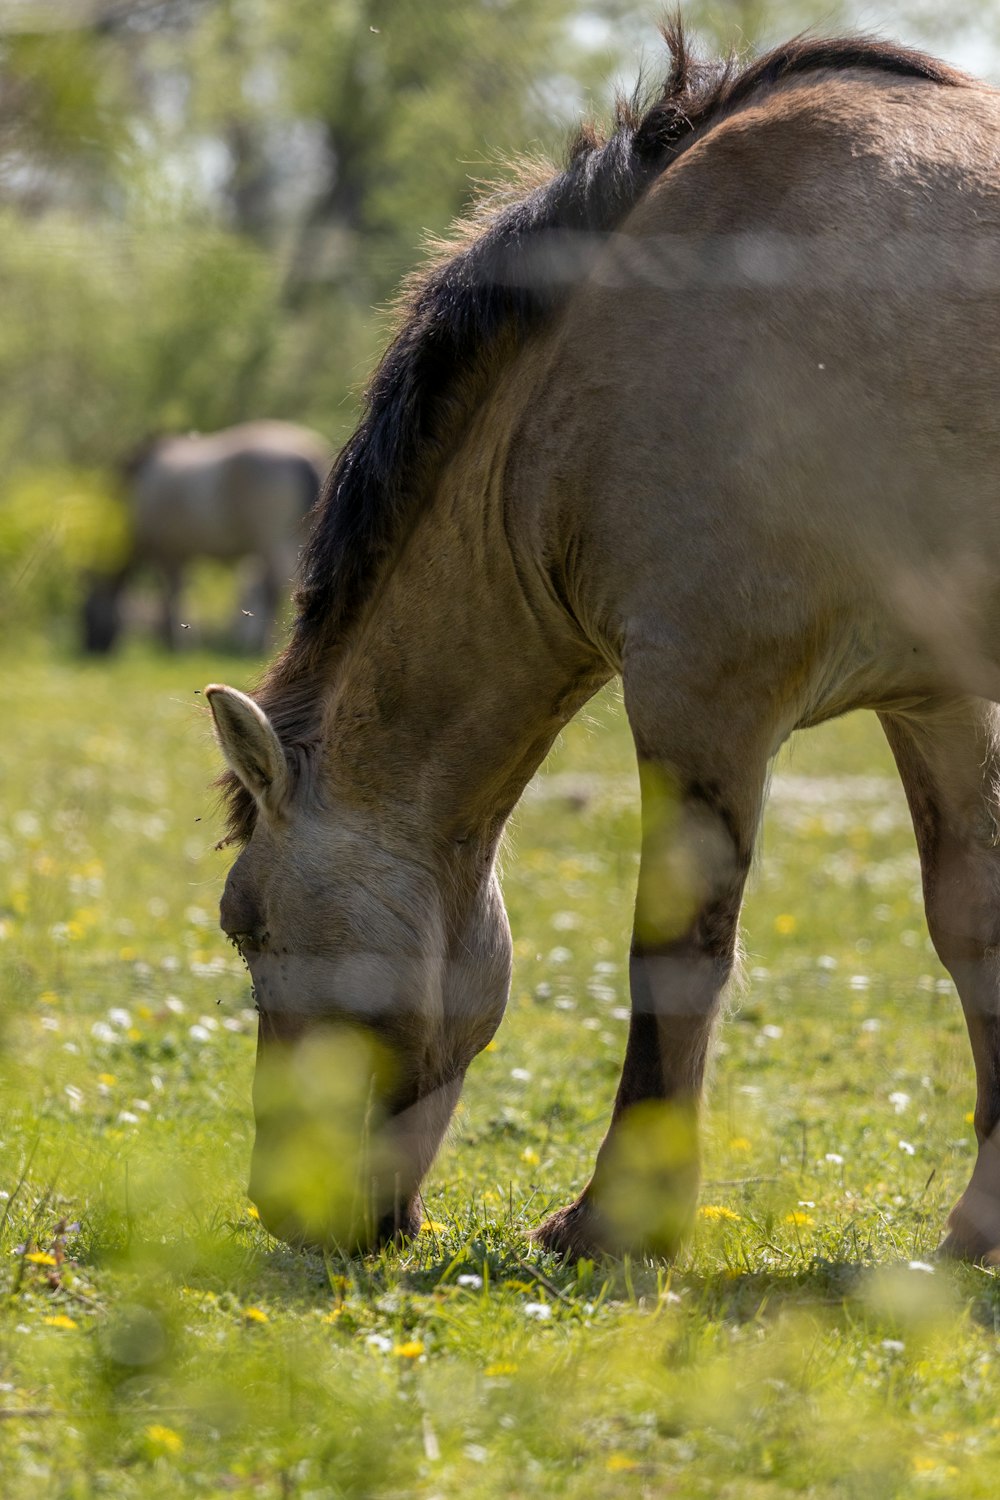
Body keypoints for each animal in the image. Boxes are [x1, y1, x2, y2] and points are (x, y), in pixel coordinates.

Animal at [83, 423, 329, 657]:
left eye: (86, 612)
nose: (91, 649)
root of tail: (307, 454)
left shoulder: (169, 554)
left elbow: (173, 595)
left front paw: (176, 643)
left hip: (274, 540)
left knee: (273, 586)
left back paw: (260, 644)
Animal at [206, 29, 1000, 1260]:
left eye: (246, 928)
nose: (287, 1210)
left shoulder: (699, 693)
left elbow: (675, 955)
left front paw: (615, 1222)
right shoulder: (934, 694)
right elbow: (972, 925)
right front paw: (980, 1220)